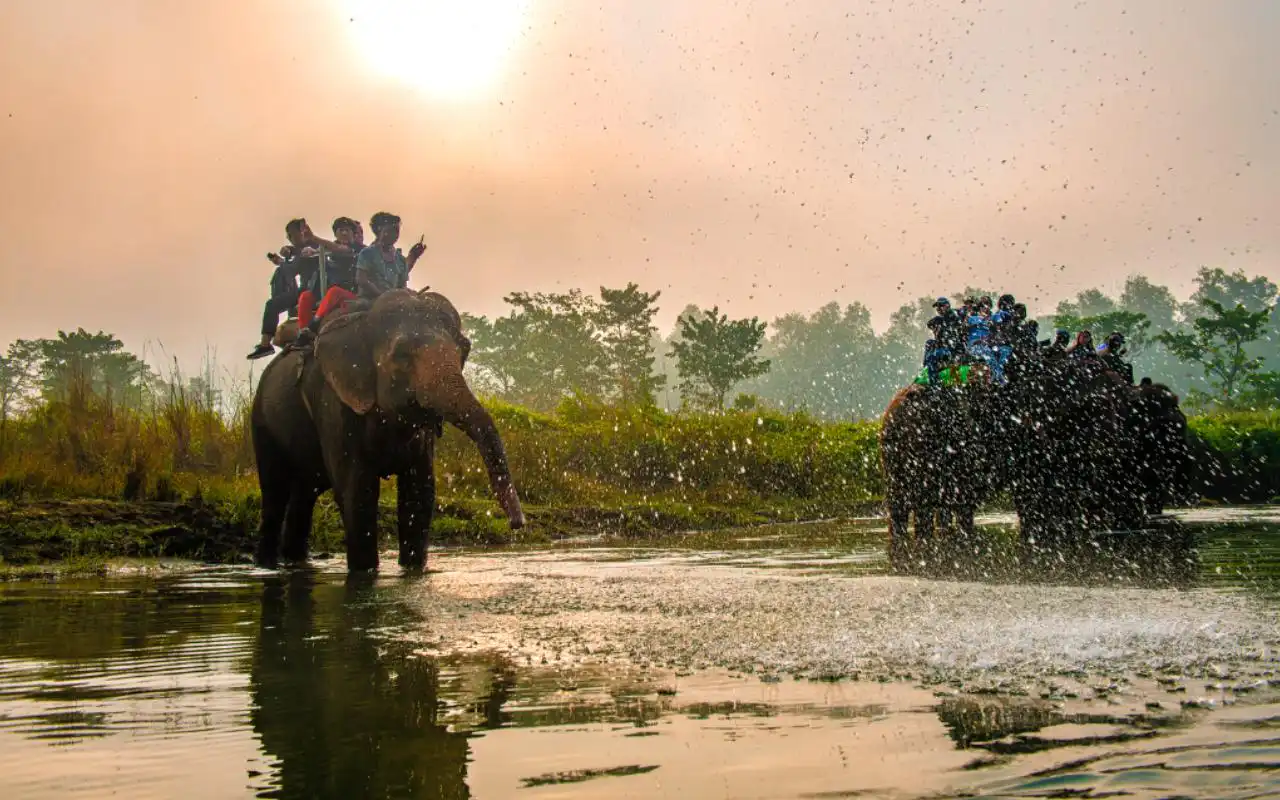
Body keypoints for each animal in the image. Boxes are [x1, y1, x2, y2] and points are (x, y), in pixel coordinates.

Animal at [250, 288, 526, 572]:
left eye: (465, 348)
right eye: (402, 355)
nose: (517, 523)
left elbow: (419, 493)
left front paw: (413, 571)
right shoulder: (333, 401)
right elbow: (357, 492)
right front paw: (365, 573)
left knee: (305, 493)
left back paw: (294, 562)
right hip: (262, 419)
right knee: (274, 492)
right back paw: (266, 565)